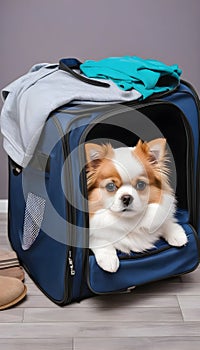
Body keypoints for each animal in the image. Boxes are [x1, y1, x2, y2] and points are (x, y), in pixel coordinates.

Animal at [85, 138, 188, 272]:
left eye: (140, 185)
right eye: (110, 186)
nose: (127, 197)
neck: (129, 221)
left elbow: (165, 222)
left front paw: (177, 234)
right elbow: (98, 239)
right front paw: (109, 260)